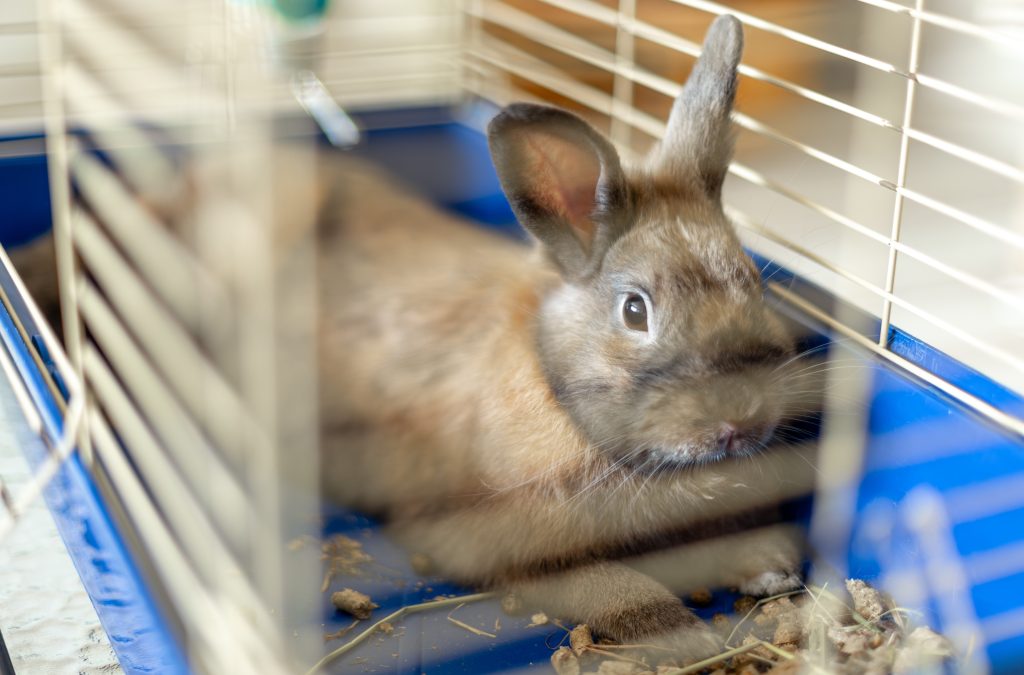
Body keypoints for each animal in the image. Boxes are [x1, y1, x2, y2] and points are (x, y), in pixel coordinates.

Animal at [315, 14, 822, 659]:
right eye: (635, 310)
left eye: (754, 285)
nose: (740, 422)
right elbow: (615, 591)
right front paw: (686, 638)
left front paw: (771, 567)